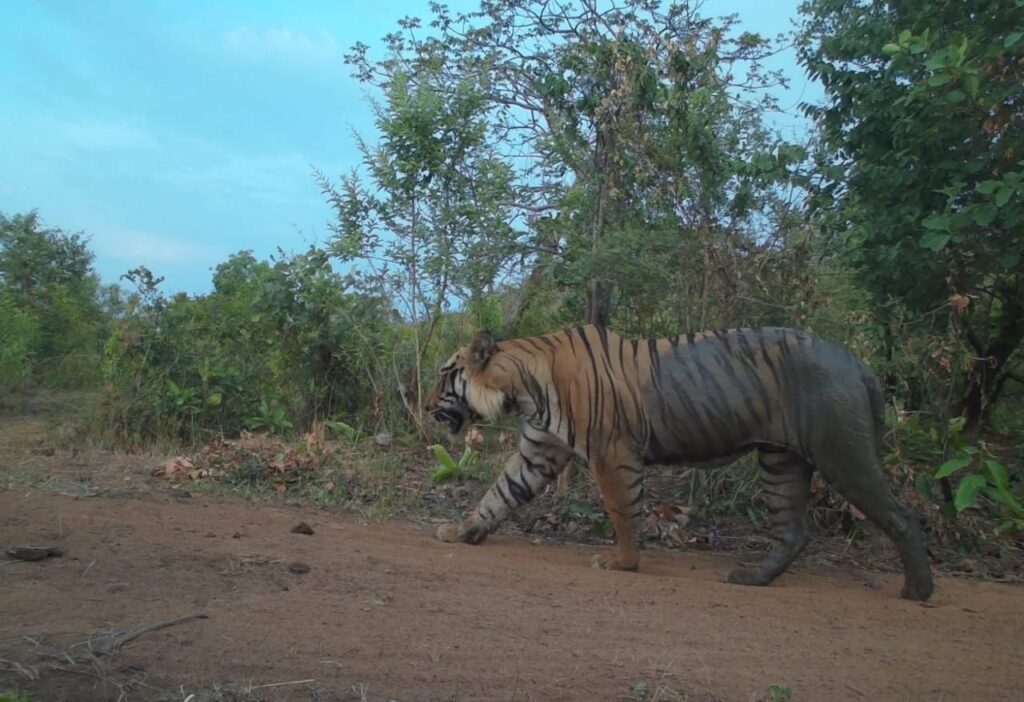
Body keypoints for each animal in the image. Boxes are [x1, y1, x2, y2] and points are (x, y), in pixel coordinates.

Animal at [423, 327, 937, 601]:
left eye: (445, 376)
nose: (425, 405)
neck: (524, 390)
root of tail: (857, 361)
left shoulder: (612, 454)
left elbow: (622, 511)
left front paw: (621, 563)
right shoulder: (539, 451)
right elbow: (499, 493)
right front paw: (462, 531)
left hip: (842, 452)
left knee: (901, 515)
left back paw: (918, 591)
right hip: (780, 460)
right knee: (793, 530)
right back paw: (750, 578)